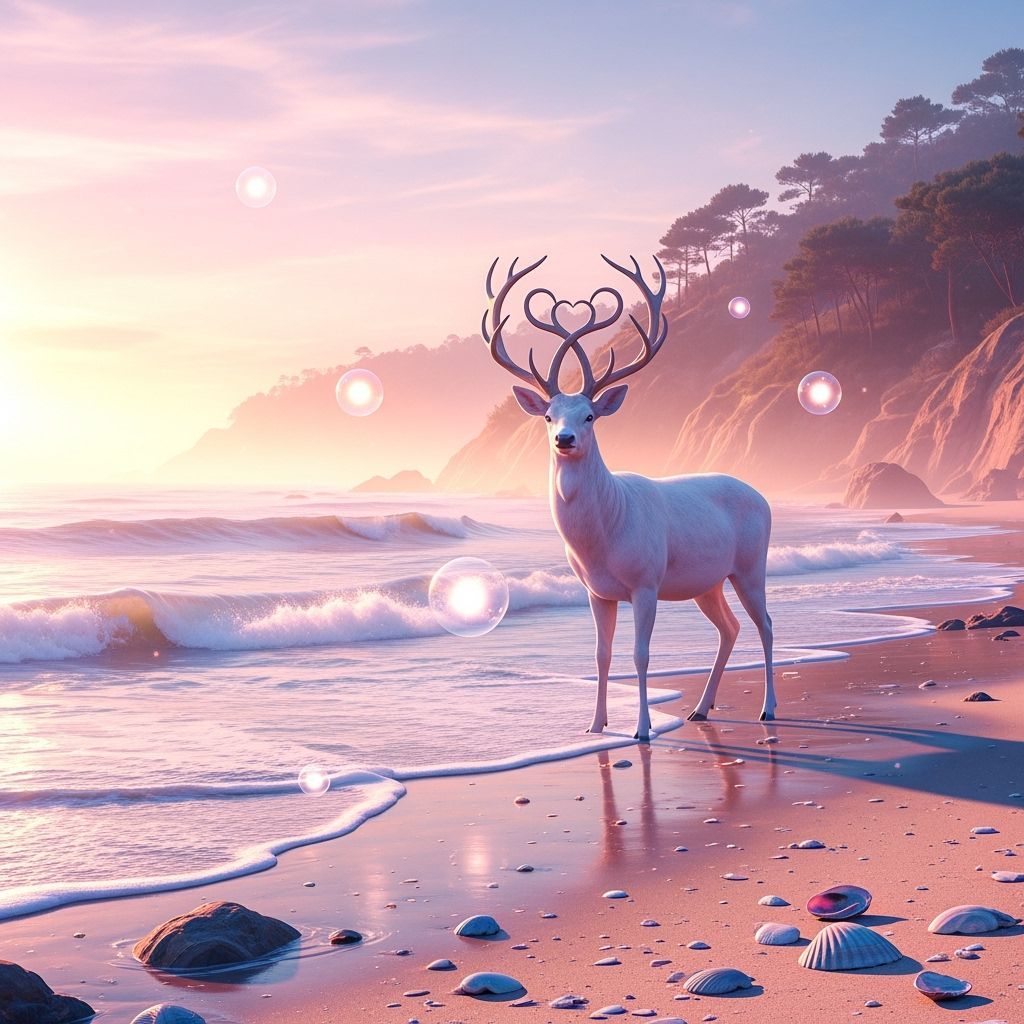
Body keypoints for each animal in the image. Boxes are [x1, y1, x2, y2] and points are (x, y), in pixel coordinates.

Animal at [482, 255, 776, 741]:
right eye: (548, 415)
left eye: (589, 415)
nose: (564, 439)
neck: (603, 538)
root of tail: (762, 496)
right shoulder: (596, 592)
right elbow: (601, 655)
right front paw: (595, 725)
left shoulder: (646, 581)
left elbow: (641, 654)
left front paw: (642, 728)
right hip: (708, 581)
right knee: (730, 628)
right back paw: (701, 708)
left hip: (752, 565)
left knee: (765, 625)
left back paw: (768, 709)